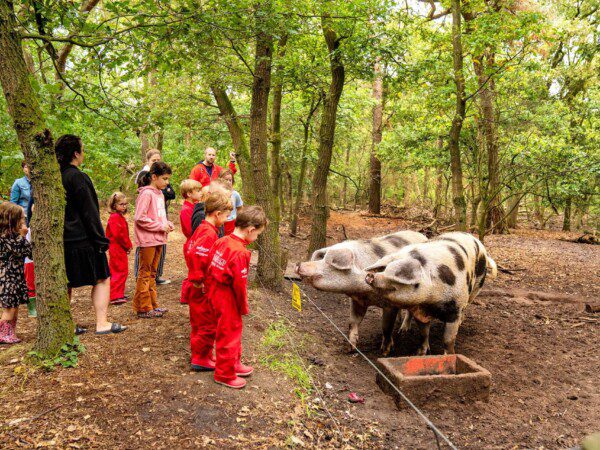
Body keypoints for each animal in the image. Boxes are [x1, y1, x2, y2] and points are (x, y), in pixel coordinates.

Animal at [294, 232, 426, 356]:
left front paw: (385, 352)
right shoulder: (358, 300)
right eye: (321, 258)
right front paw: (350, 348)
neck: (364, 292)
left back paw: (403, 330)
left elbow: (386, 327)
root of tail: (421, 234)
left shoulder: (389, 305)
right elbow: (352, 322)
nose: (298, 264)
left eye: (329, 262)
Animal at [366, 232, 496, 356]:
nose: (370, 275)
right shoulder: (420, 310)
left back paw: (461, 322)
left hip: (476, 287)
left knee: (467, 304)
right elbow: (424, 333)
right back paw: (403, 330)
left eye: (392, 274)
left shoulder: (454, 308)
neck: (430, 301)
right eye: (383, 269)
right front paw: (420, 354)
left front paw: (448, 355)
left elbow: (448, 339)